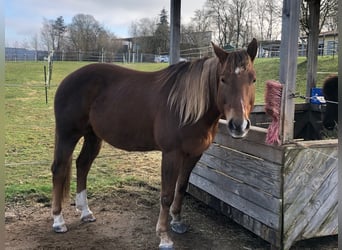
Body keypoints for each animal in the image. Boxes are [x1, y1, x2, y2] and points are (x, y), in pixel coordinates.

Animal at [51, 38, 256, 248]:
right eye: (223, 79)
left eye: (253, 79)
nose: (239, 125)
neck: (187, 106)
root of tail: (68, 79)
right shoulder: (171, 154)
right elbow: (166, 195)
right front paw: (164, 236)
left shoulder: (193, 154)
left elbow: (181, 188)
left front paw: (177, 221)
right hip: (68, 135)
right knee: (59, 169)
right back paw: (58, 220)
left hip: (93, 136)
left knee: (82, 164)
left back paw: (85, 212)